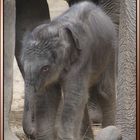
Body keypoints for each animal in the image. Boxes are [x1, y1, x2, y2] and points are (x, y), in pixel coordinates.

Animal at [21, 1, 118, 140]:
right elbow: (49, 98)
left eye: (45, 68)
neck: (58, 29)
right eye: (23, 65)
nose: (32, 132)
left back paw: (111, 129)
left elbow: (73, 96)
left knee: (104, 91)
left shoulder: (82, 58)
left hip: (110, 52)